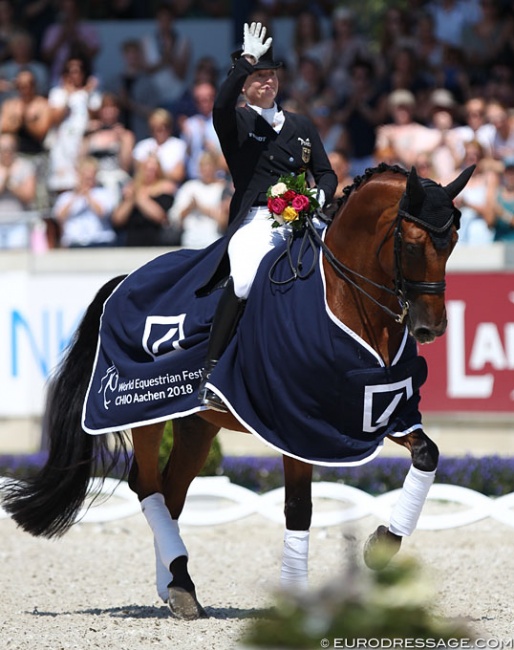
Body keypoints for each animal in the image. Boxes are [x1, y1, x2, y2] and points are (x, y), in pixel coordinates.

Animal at [0, 163, 472, 616]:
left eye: (451, 242)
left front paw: (381, 546)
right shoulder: (296, 425)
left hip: (197, 426)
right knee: (148, 486)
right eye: (413, 245)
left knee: (171, 493)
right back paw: (179, 586)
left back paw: (176, 585)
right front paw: (297, 600)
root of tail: (125, 278)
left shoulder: (378, 410)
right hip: (144, 413)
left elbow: (428, 454)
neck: (343, 299)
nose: (431, 328)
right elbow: (299, 507)